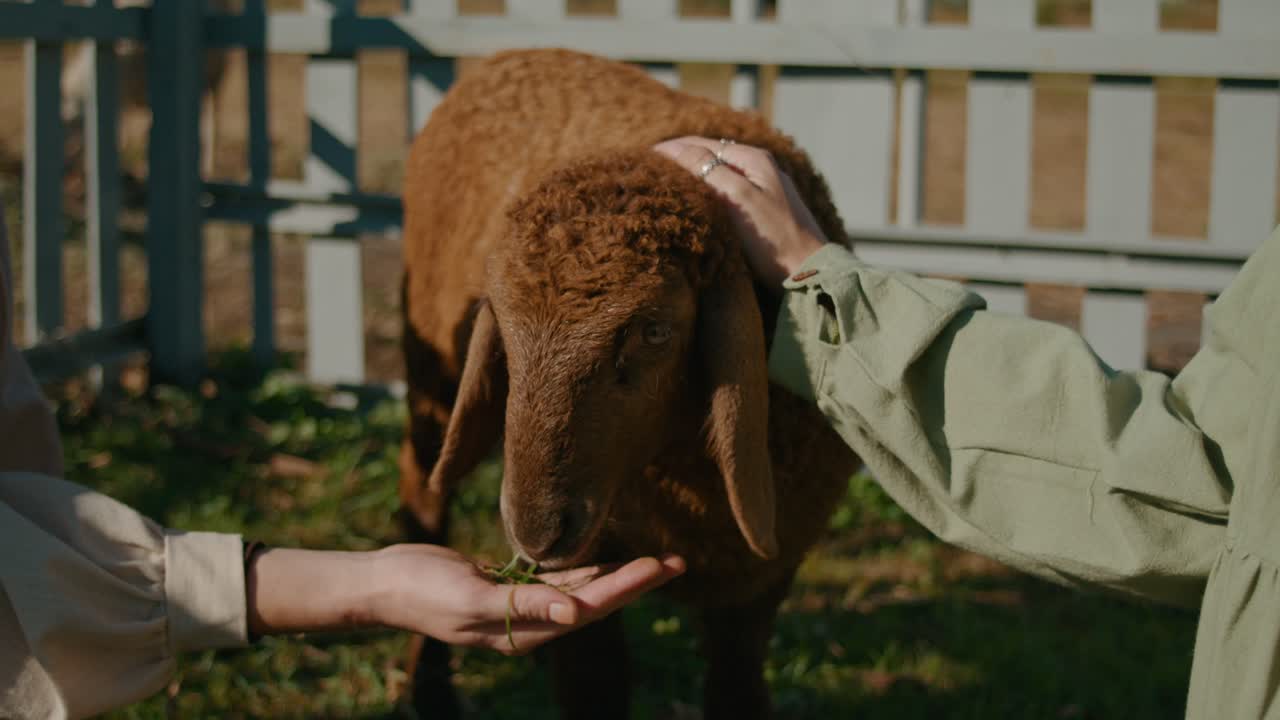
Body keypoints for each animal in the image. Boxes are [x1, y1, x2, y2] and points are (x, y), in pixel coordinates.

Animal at [399, 48, 860, 720]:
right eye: (501, 323)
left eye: (655, 330)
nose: (537, 531)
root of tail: (505, 56)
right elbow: (597, 684)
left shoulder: (758, 583)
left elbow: (737, 689)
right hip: (428, 365)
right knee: (423, 495)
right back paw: (429, 686)